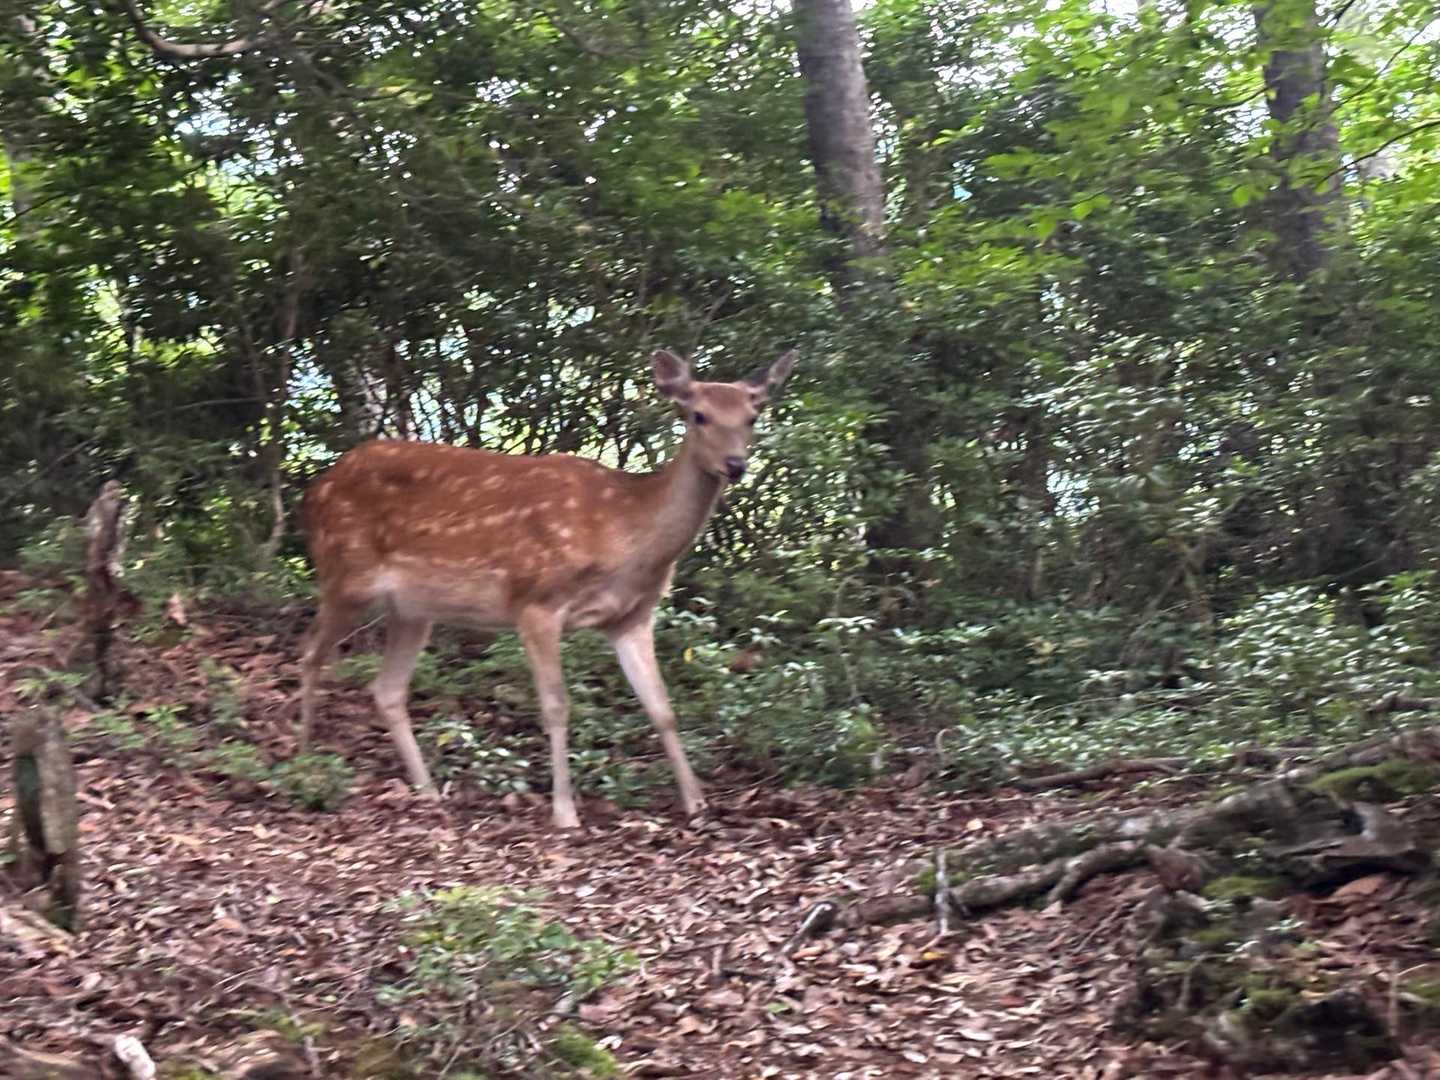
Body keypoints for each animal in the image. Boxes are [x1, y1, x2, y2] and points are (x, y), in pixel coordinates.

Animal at [297, 348, 797, 829]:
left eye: (752, 416)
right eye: (699, 415)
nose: (735, 465)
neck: (626, 534)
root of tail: (316, 488)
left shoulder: (631, 617)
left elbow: (662, 707)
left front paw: (697, 803)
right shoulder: (537, 601)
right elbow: (556, 706)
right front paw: (565, 812)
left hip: (413, 609)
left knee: (386, 689)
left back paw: (427, 790)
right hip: (346, 573)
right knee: (311, 653)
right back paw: (303, 752)